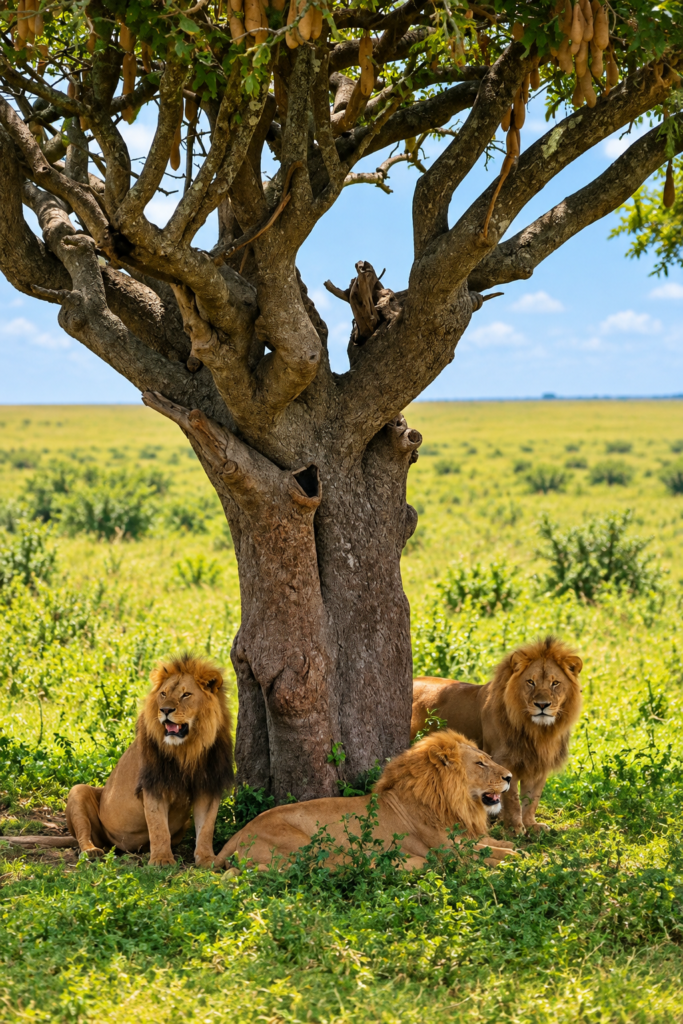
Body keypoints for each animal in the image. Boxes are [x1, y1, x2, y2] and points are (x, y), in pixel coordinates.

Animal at [65, 654, 234, 866]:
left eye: (186, 695)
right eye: (163, 693)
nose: (165, 710)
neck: (188, 750)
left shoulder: (208, 786)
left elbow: (206, 828)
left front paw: (207, 859)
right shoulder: (154, 785)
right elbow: (158, 827)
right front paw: (161, 859)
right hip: (78, 792)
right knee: (83, 835)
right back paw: (91, 851)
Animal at [214, 730, 516, 872]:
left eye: (487, 758)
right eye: (480, 763)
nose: (510, 777)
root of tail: (238, 834)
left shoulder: (464, 838)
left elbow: (498, 845)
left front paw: (512, 846)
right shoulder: (447, 850)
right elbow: (494, 855)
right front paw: (518, 858)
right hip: (304, 843)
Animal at [411, 636, 583, 835]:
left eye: (555, 683)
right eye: (530, 682)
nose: (542, 705)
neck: (537, 731)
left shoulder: (539, 763)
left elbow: (532, 798)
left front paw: (531, 825)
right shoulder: (504, 760)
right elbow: (512, 798)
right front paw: (514, 829)